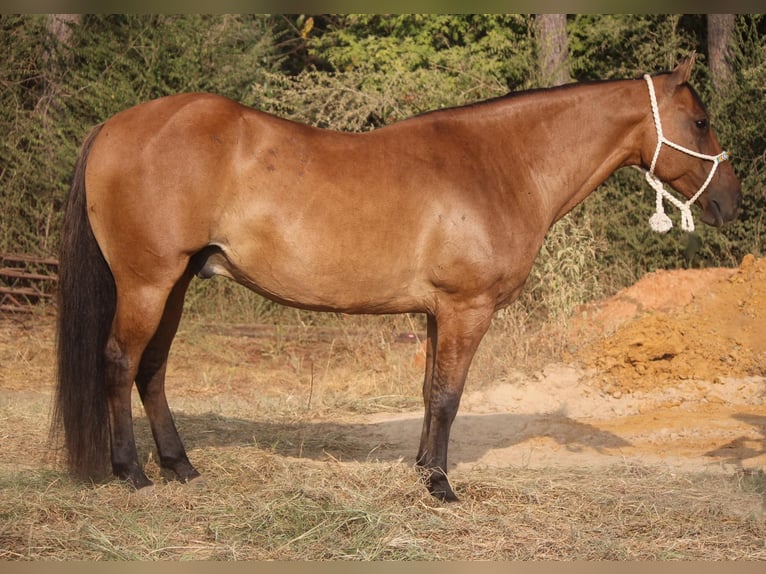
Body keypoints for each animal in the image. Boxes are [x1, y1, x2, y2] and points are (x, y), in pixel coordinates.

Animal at [51, 56, 740, 502]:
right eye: (701, 122)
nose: (731, 203)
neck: (498, 164)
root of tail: (114, 126)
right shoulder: (466, 309)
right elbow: (449, 397)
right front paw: (441, 487)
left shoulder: (437, 313)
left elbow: (430, 393)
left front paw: (422, 472)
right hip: (147, 282)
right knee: (119, 361)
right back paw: (132, 474)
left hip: (175, 284)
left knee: (152, 369)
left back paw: (181, 467)